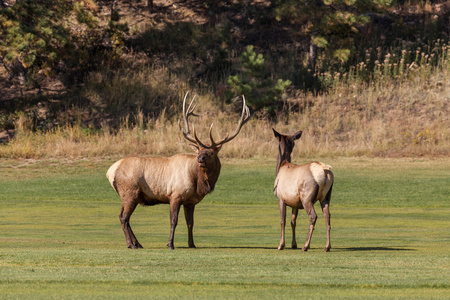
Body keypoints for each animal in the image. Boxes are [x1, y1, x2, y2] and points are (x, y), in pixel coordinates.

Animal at [107, 93, 251, 248]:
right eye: (199, 150)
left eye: (211, 152)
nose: (200, 159)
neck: (199, 183)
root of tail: (110, 171)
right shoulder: (175, 195)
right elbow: (173, 221)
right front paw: (170, 244)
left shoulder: (190, 202)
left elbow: (190, 223)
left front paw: (192, 244)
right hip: (129, 192)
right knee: (123, 217)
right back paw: (131, 244)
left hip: (130, 195)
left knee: (124, 217)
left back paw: (137, 243)